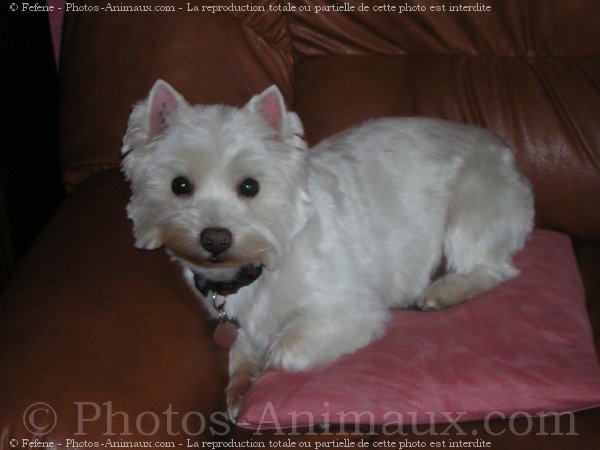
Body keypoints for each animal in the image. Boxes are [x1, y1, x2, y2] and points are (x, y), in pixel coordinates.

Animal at [122, 80, 536, 418]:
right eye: (179, 185)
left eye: (250, 186)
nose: (215, 238)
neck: (262, 264)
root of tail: (506, 153)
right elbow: (239, 351)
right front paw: (238, 386)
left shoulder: (348, 311)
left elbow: (285, 348)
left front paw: (260, 376)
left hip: (474, 204)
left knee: (491, 267)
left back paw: (443, 290)